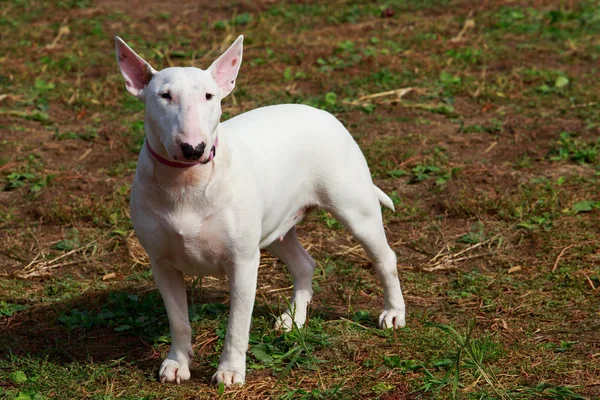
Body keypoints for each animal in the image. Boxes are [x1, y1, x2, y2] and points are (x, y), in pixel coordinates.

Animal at [115, 35, 406, 388]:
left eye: (209, 95)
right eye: (164, 96)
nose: (193, 148)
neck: (186, 182)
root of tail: (321, 112)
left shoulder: (242, 262)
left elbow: (237, 324)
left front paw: (230, 371)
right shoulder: (162, 264)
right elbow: (179, 320)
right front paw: (176, 364)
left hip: (354, 210)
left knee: (385, 257)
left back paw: (393, 313)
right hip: (274, 230)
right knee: (305, 264)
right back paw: (293, 319)